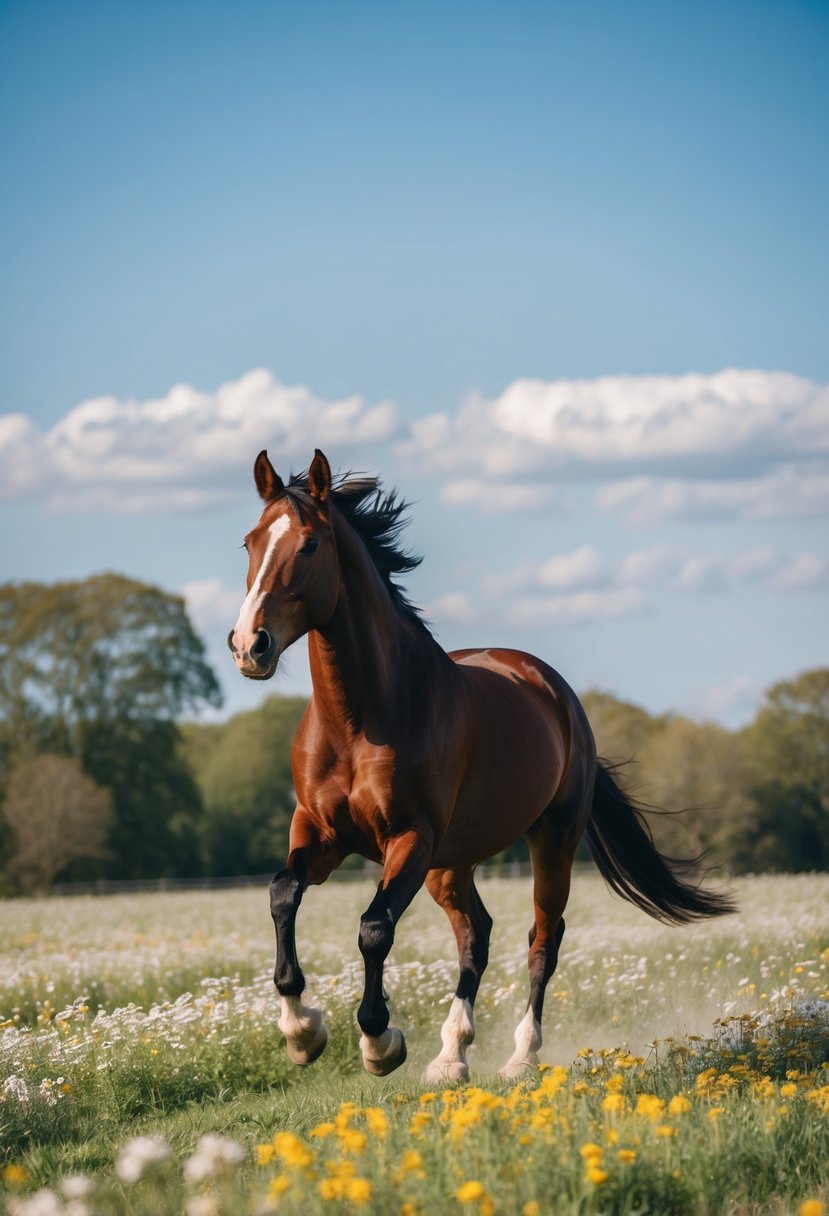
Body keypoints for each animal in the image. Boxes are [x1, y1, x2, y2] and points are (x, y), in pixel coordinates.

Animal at [224, 452, 729, 1079]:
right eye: (248, 542)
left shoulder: (409, 839)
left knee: (542, 939)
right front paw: (302, 1031)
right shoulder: (319, 832)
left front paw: (379, 1041)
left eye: (311, 544)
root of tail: (553, 689)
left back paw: (519, 1056)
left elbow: (374, 928)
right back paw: (451, 1055)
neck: (362, 720)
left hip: (549, 841)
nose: (250, 645)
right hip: (451, 863)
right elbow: (282, 895)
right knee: (476, 935)